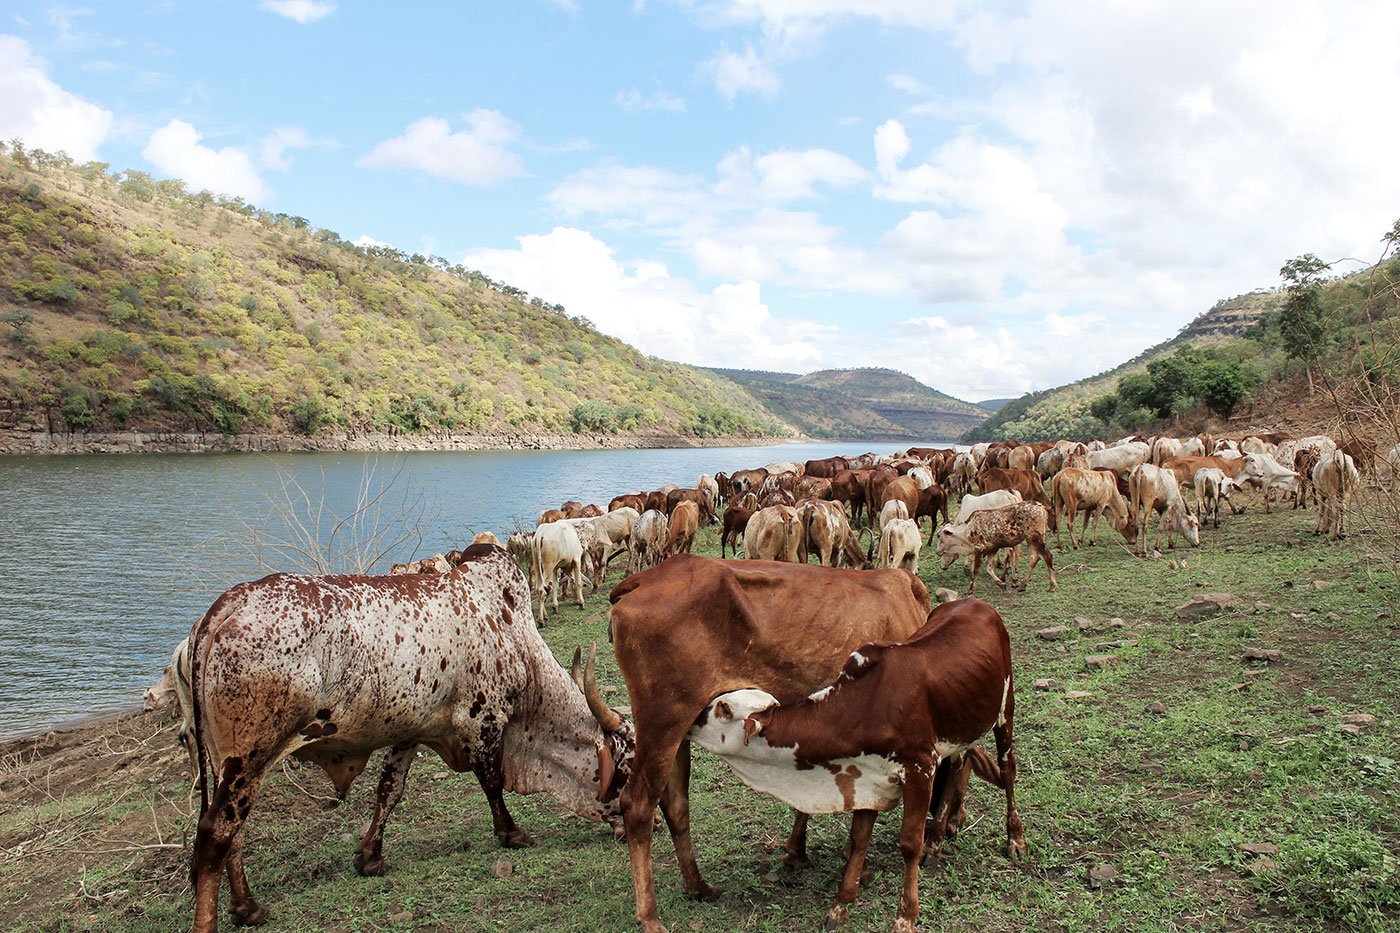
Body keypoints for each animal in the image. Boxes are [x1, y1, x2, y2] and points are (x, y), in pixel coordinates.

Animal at [183, 546, 632, 930]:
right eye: (627, 770)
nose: (632, 828)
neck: (515, 637)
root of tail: (233, 601)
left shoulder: (411, 733)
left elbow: (389, 790)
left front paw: (370, 857)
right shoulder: (483, 720)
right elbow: (491, 783)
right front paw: (512, 833)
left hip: (226, 760)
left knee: (233, 834)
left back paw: (248, 907)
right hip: (252, 755)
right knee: (214, 834)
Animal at [610, 554, 929, 924]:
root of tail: (642, 580)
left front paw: (799, 853)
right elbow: (863, 816)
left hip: (677, 728)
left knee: (676, 804)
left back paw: (697, 886)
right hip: (662, 721)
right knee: (638, 805)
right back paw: (650, 916)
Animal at [691, 596, 1030, 930]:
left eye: (723, 708)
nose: (693, 718)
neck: (866, 706)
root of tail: (976, 603)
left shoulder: (920, 768)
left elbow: (909, 842)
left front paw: (906, 917)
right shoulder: (869, 776)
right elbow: (859, 839)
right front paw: (840, 905)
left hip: (1005, 709)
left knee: (1008, 768)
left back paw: (1015, 839)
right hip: (959, 731)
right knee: (959, 768)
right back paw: (936, 844)